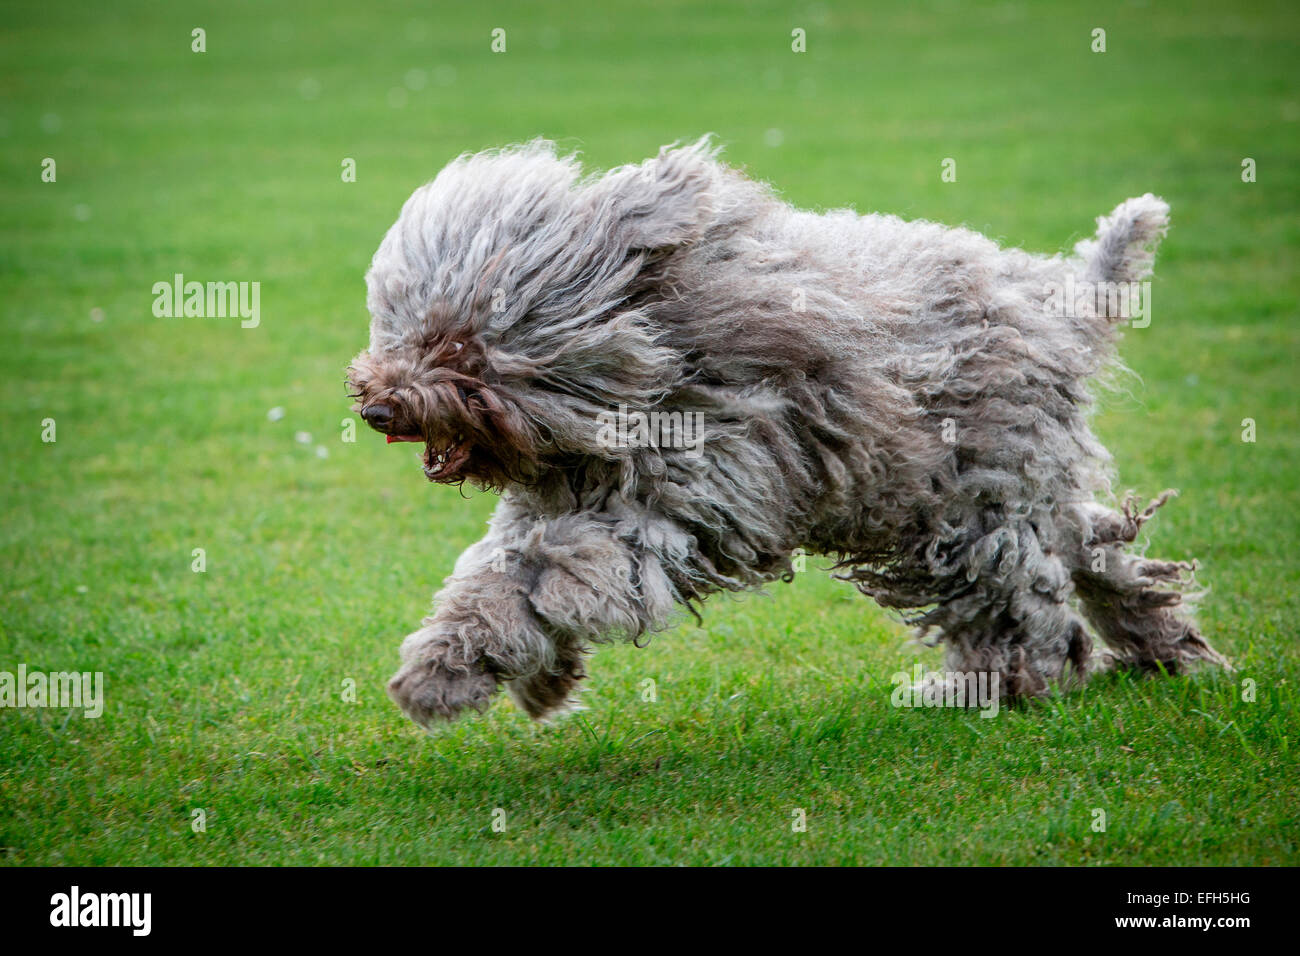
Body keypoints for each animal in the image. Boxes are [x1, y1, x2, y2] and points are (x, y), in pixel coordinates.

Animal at [348, 138, 1227, 728]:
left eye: (461, 349)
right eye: (402, 328)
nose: (378, 408)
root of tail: (1058, 298)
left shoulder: (678, 501)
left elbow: (547, 577)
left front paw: (449, 678)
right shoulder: (565, 494)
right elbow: (496, 573)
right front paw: (508, 672)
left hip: (973, 504)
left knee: (1022, 601)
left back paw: (1004, 684)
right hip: (1005, 485)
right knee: (1098, 553)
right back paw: (1163, 645)